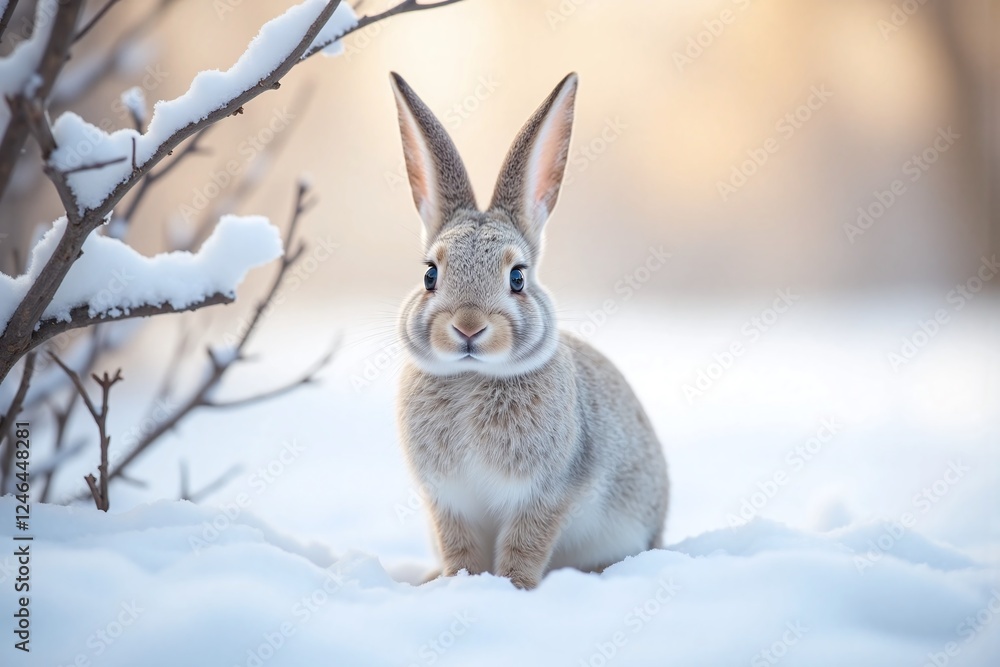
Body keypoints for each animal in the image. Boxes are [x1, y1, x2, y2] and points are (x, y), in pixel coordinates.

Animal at [390, 72, 669, 590]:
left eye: (517, 277)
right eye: (430, 275)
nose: (468, 326)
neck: (472, 377)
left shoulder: (547, 495)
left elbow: (525, 546)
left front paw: (513, 589)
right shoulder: (448, 501)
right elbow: (460, 548)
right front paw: (459, 583)